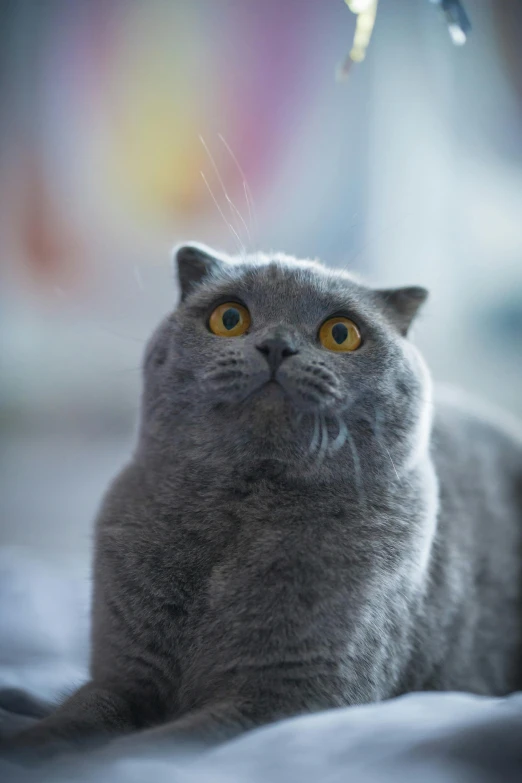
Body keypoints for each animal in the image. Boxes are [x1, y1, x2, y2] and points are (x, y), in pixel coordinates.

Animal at [1, 245, 520, 760]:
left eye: (341, 333)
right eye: (229, 317)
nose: (277, 346)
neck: (242, 515)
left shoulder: (290, 698)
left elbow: (146, 748)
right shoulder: (122, 677)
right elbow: (78, 716)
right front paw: (31, 747)